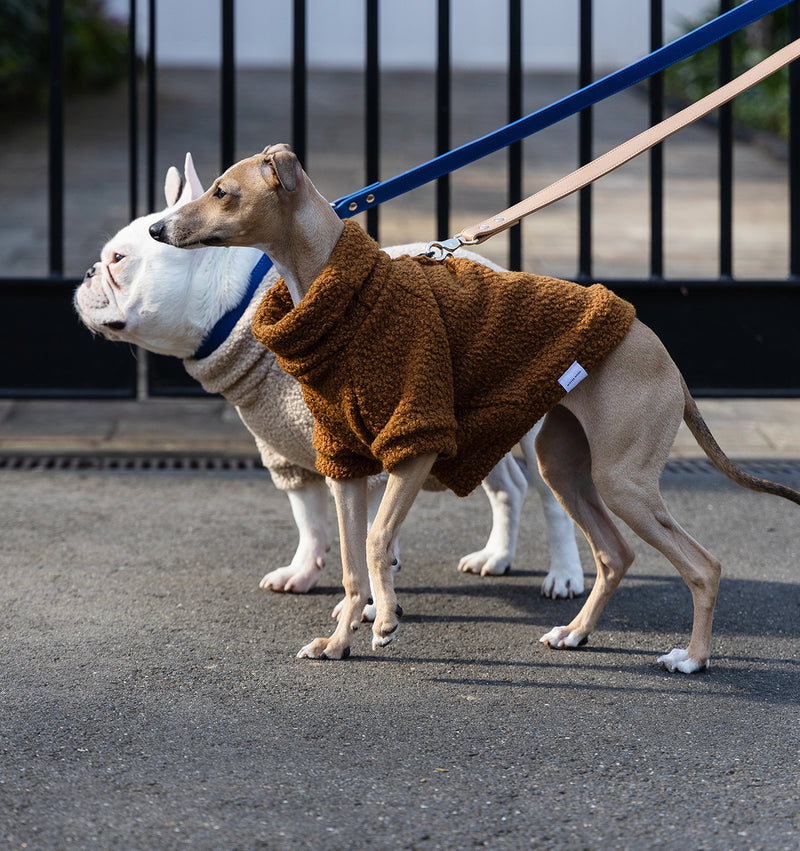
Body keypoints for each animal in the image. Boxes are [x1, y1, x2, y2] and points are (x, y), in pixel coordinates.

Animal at [75, 151, 584, 604]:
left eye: (118, 259)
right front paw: (303, 571)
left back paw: (564, 575)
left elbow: (370, 531)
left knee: (551, 499)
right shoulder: (287, 452)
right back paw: (496, 557)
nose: (87, 272)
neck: (238, 307)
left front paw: (372, 600)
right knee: (508, 487)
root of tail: (499, 266)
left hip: (531, 420)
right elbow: (309, 518)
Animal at [152, 145, 800, 672]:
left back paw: (692, 658)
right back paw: (575, 633)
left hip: (623, 480)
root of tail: (666, 359)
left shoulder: (416, 441)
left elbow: (375, 541)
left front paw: (386, 622)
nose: (158, 227)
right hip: (566, 464)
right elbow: (352, 563)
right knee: (615, 553)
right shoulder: (345, 464)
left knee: (703, 565)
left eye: (222, 191)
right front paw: (338, 643)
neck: (344, 297)